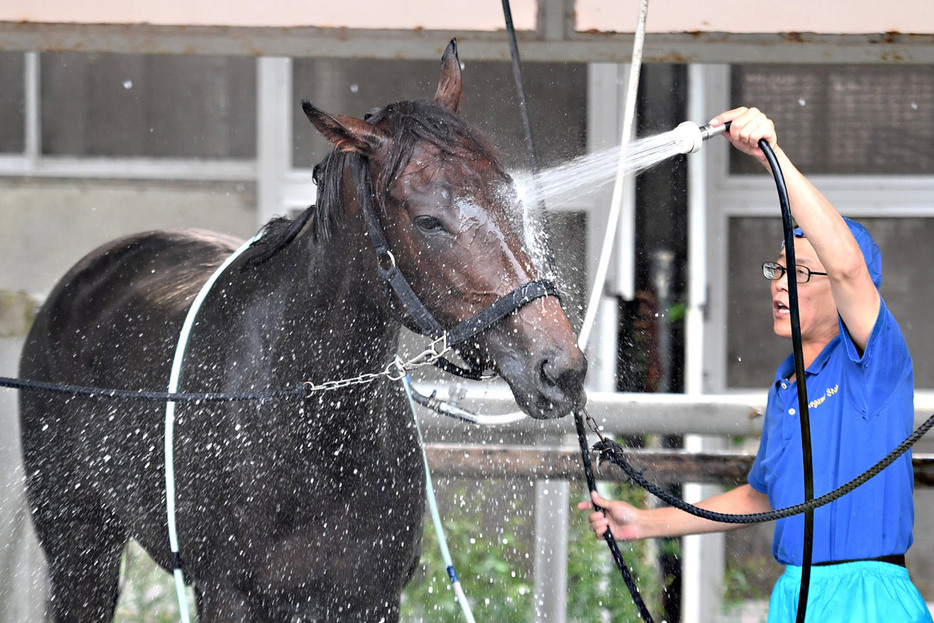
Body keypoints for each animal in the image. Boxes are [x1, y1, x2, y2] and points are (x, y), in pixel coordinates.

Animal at [20, 41, 584, 620]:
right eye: (428, 221)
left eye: (509, 196)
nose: (559, 367)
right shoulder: (226, 595)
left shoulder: (370, 598)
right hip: (79, 549)